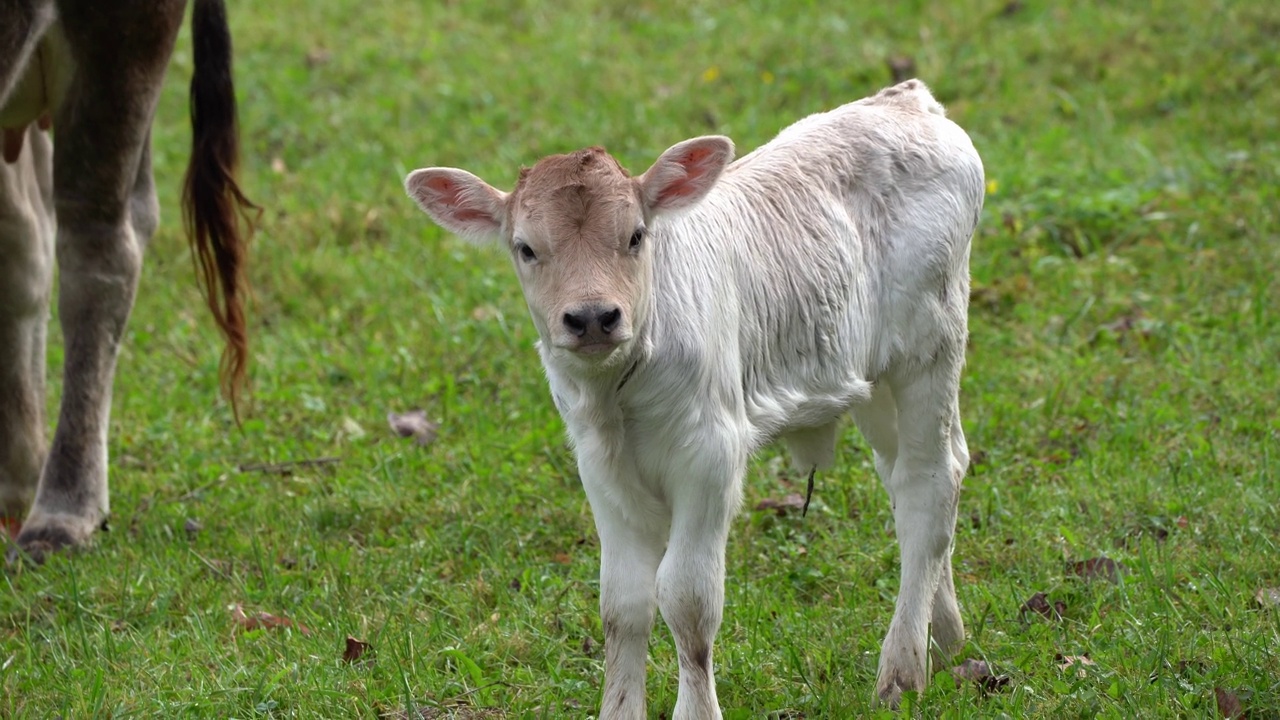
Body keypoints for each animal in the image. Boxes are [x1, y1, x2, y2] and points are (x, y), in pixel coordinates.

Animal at [404, 79, 983, 712]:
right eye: (526, 248)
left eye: (636, 235)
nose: (592, 317)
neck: (617, 399)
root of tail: (904, 97)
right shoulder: (599, 468)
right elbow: (622, 602)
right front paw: (619, 711)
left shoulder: (711, 456)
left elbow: (687, 598)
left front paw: (697, 710)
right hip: (874, 378)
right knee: (908, 478)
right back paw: (944, 637)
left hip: (931, 343)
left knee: (931, 480)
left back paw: (902, 667)